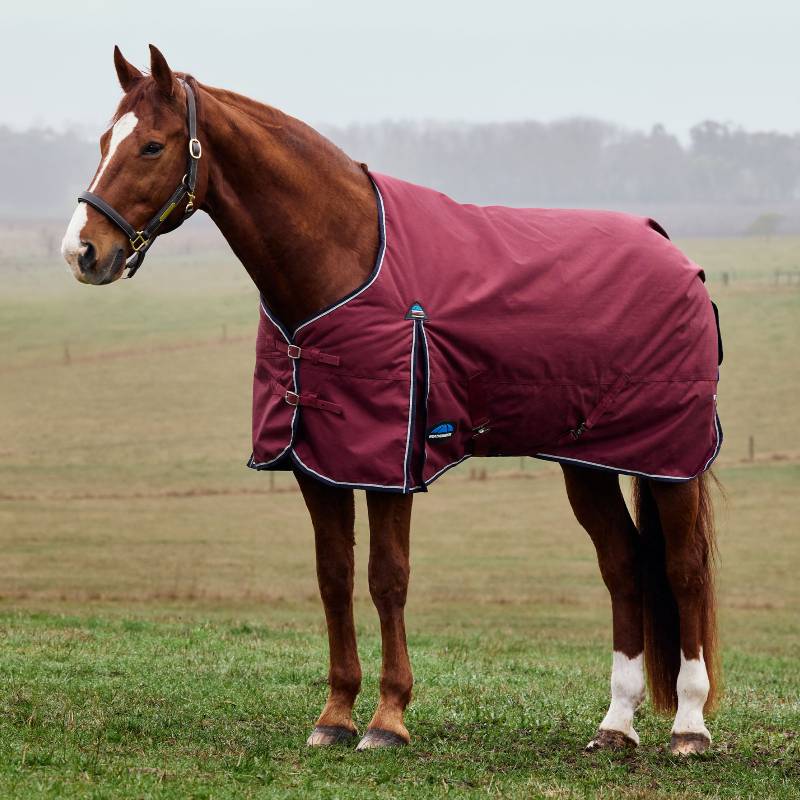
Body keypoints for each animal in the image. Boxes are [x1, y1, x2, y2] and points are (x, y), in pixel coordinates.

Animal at [61, 45, 721, 755]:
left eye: (152, 146)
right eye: (104, 141)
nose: (81, 251)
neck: (342, 260)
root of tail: (670, 249)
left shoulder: (389, 466)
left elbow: (387, 578)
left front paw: (388, 718)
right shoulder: (318, 465)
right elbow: (334, 577)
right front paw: (335, 715)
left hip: (671, 462)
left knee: (684, 570)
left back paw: (689, 726)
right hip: (588, 463)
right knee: (623, 566)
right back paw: (616, 725)